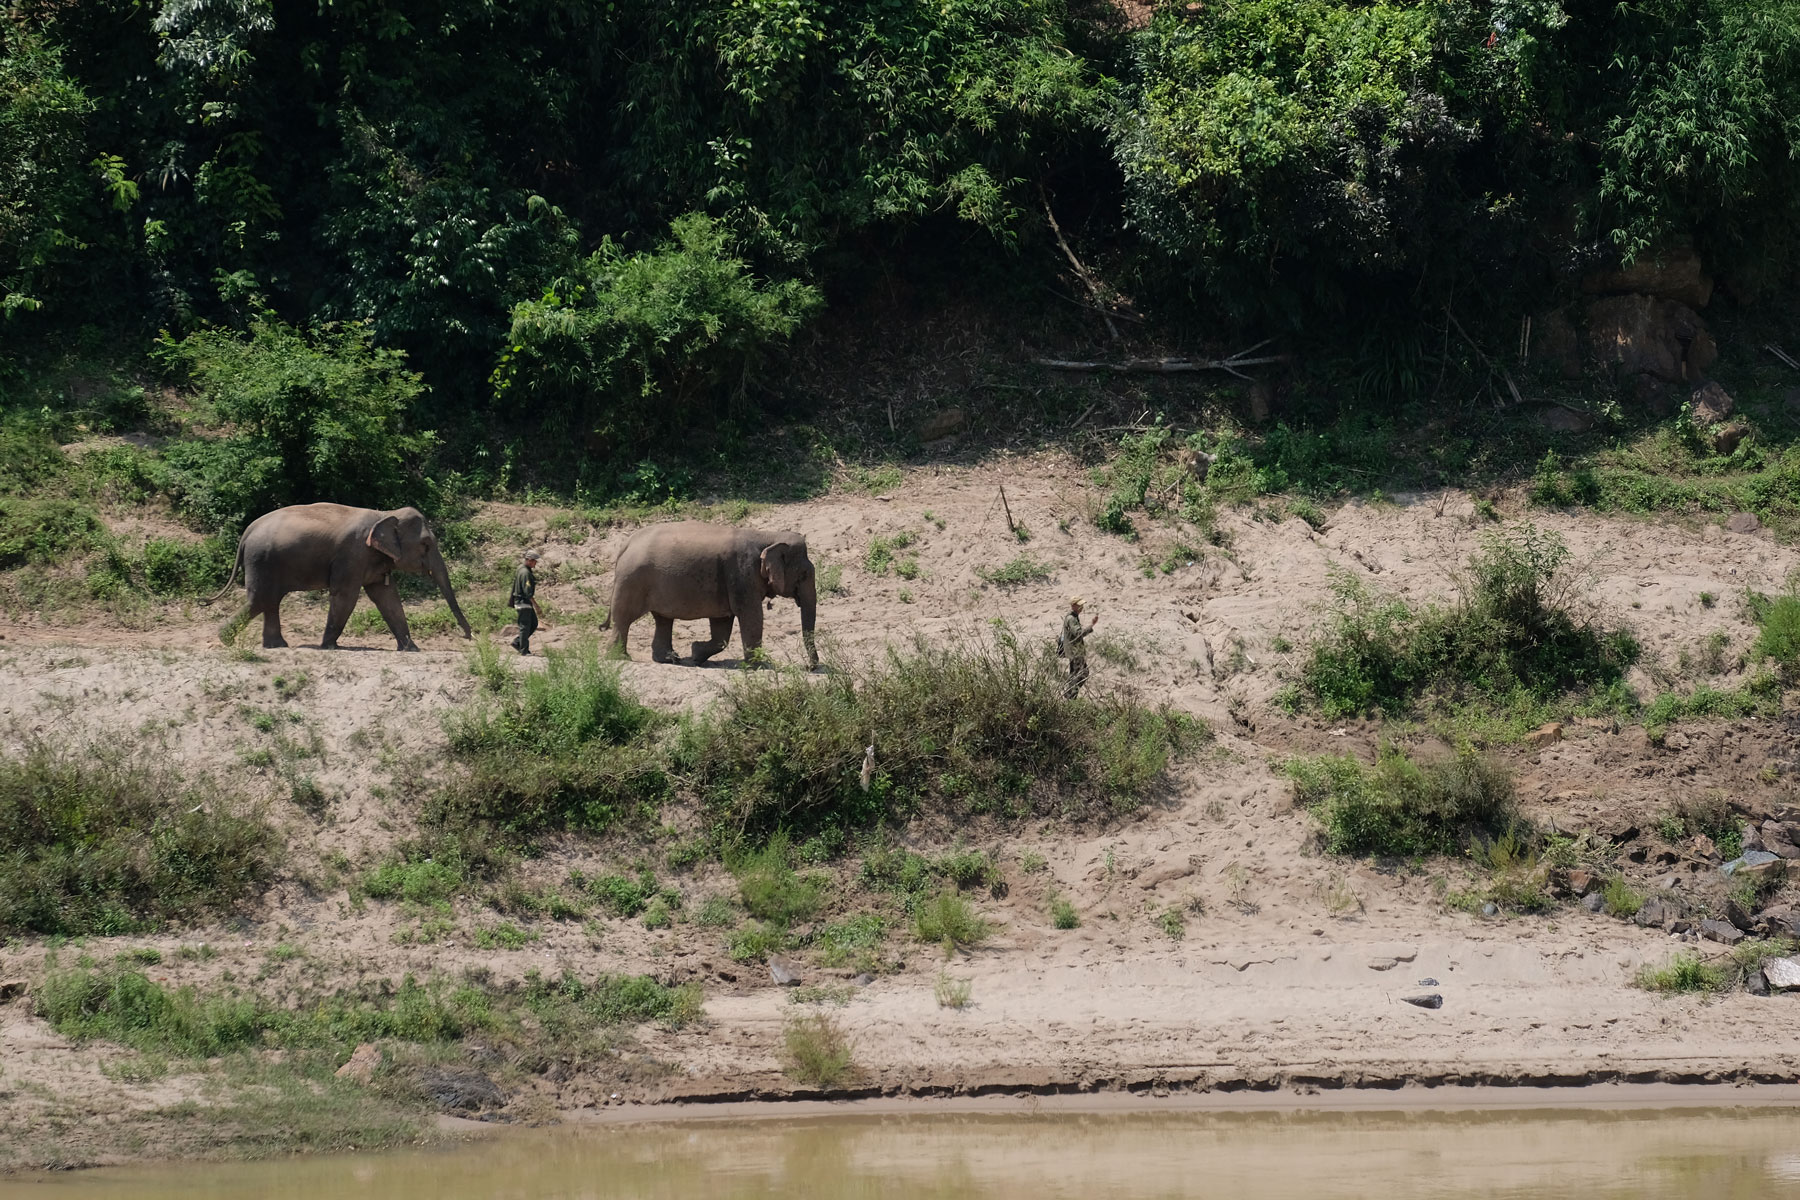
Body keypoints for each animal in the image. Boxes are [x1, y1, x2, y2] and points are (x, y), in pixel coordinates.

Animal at [206, 503, 471, 651]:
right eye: (426, 544)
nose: (469, 636)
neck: (385, 513)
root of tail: (247, 531)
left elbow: (388, 598)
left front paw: (411, 649)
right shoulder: (352, 554)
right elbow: (346, 595)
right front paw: (329, 646)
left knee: (270, 601)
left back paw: (275, 645)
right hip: (262, 561)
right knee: (260, 600)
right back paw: (225, 639)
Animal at [604, 518, 824, 665]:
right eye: (804, 574)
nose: (811, 666)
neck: (768, 535)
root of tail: (627, 543)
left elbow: (722, 629)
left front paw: (695, 654)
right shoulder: (742, 575)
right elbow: (751, 616)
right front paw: (759, 665)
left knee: (663, 619)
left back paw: (670, 659)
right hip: (632, 580)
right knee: (624, 618)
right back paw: (620, 657)